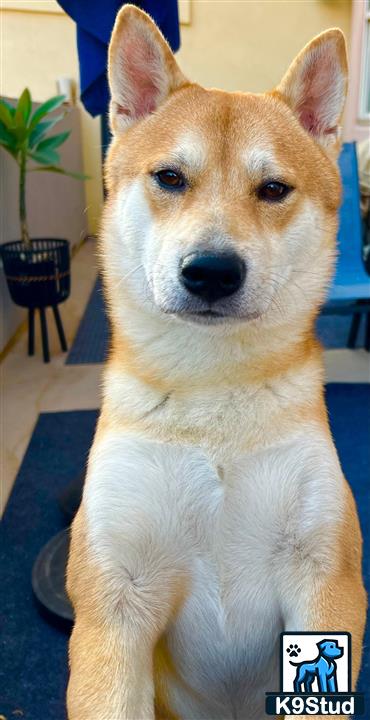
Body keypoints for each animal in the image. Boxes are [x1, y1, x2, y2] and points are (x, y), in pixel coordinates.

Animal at [66, 7, 364, 720]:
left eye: (274, 189)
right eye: (170, 178)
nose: (211, 271)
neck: (213, 397)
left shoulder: (325, 576)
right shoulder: (113, 600)